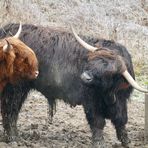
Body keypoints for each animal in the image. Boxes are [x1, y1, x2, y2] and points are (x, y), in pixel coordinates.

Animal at [0, 23, 147, 147]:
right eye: (93, 61)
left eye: (108, 72)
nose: (85, 77)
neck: (108, 93)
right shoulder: (90, 101)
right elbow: (97, 121)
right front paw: (99, 142)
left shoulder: (121, 101)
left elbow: (121, 120)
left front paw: (126, 141)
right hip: (15, 88)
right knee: (10, 110)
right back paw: (13, 138)